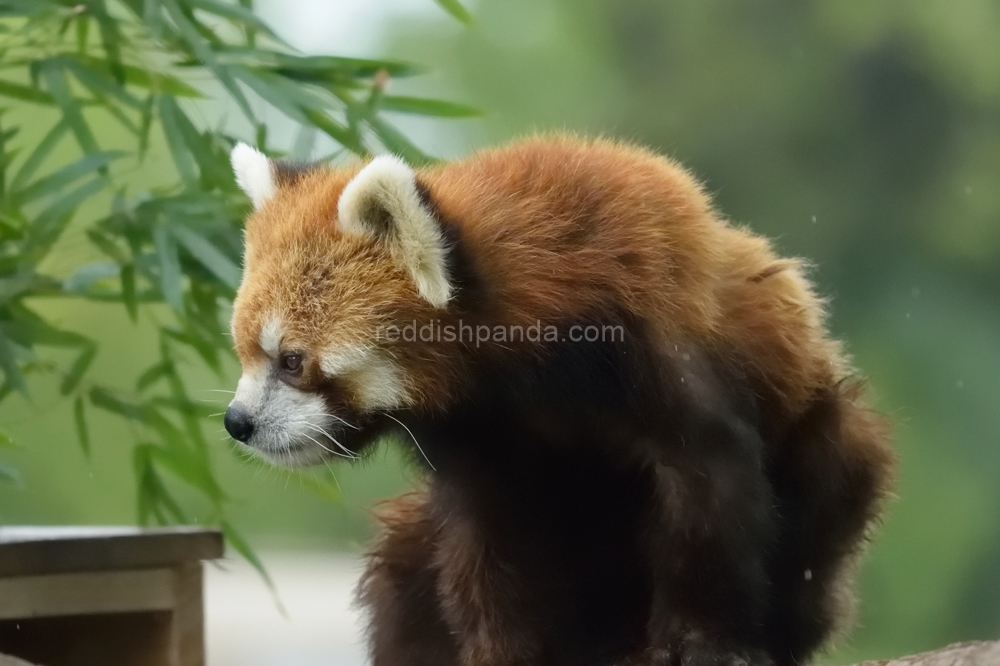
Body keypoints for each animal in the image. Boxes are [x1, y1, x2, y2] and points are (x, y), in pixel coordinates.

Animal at [225, 136, 892, 664]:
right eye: (245, 353)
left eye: (291, 360)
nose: (238, 423)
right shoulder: (476, 437)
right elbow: (488, 546)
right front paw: (503, 654)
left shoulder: (654, 342)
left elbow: (708, 488)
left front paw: (705, 645)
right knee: (406, 569)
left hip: (828, 442)